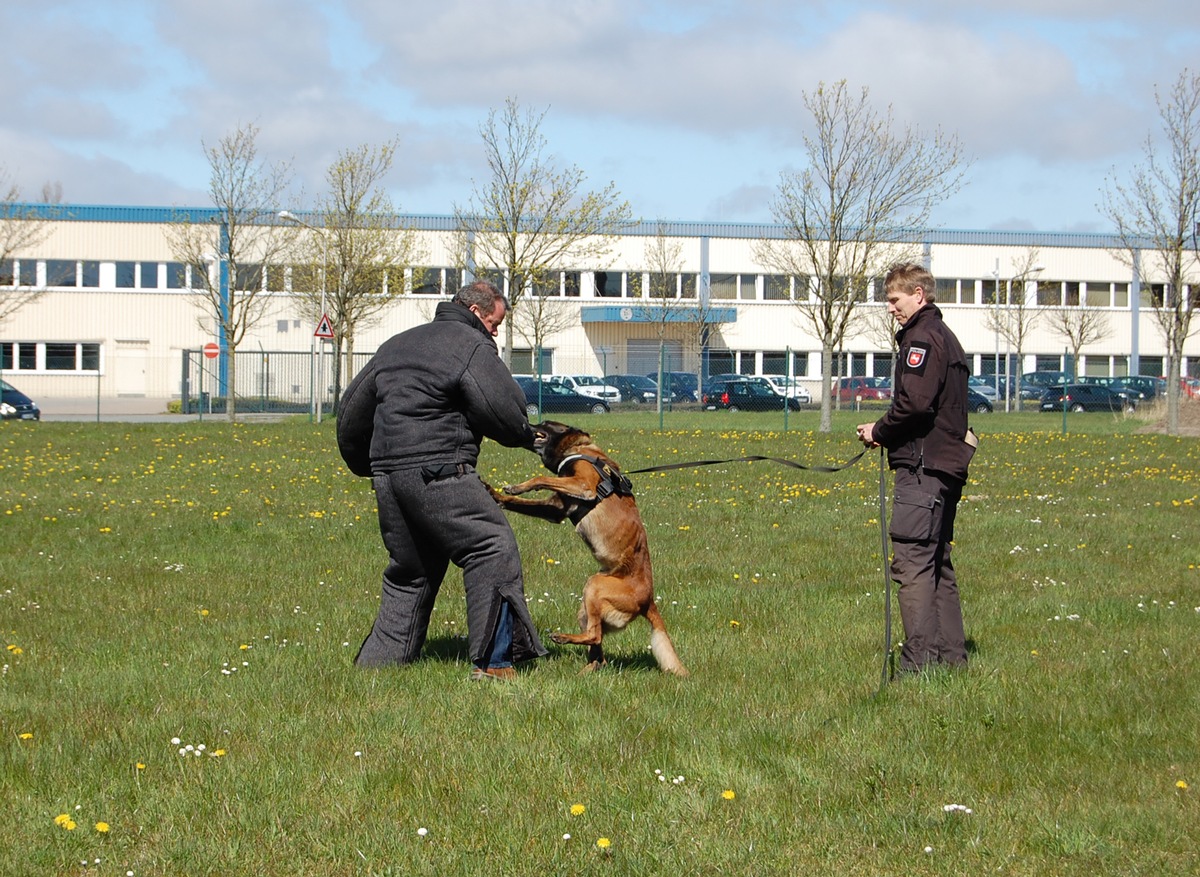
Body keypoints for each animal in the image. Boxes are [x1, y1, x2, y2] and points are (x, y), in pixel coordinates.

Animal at [484, 422, 686, 676]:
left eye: (544, 424)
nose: (525, 424)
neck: (578, 448)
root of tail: (648, 601)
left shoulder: (583, 486)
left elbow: (540, 477)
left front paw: (517, 486)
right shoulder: (556, 509)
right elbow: (522, 502)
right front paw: (497, 495)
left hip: (595, 586)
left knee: (594, 636)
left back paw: (562, 638)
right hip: (586, 608)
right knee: (598, 653)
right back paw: (584, 672)